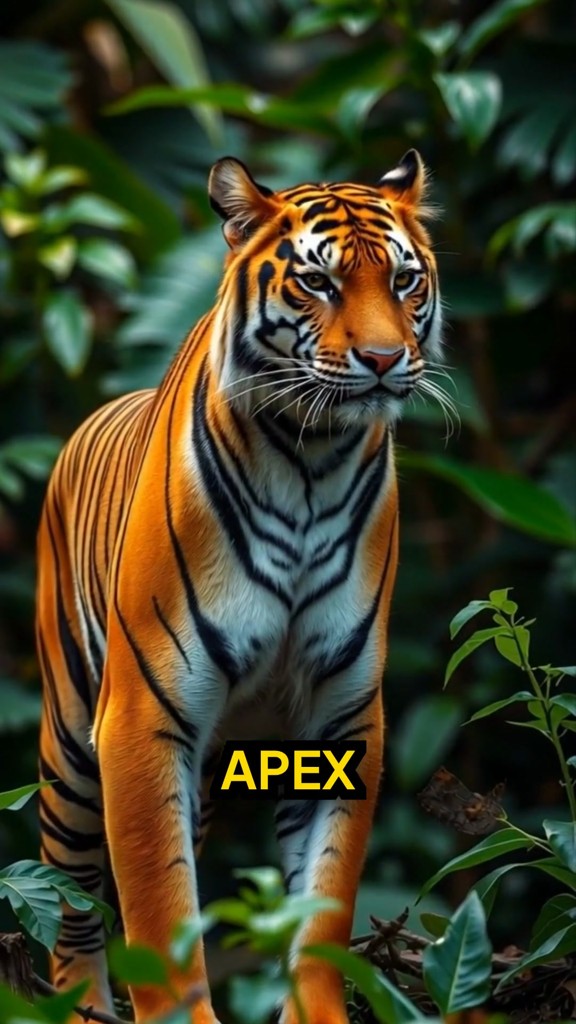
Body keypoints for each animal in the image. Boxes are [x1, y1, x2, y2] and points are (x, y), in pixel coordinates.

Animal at [36, 149, 442, 1024]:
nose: (384, 360)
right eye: (318, 282)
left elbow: (322, 902)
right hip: (72, 747)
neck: (312, 460)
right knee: (70, 901)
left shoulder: (342, 715)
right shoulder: (142, 714)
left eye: (403, 281)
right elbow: (159, 910)